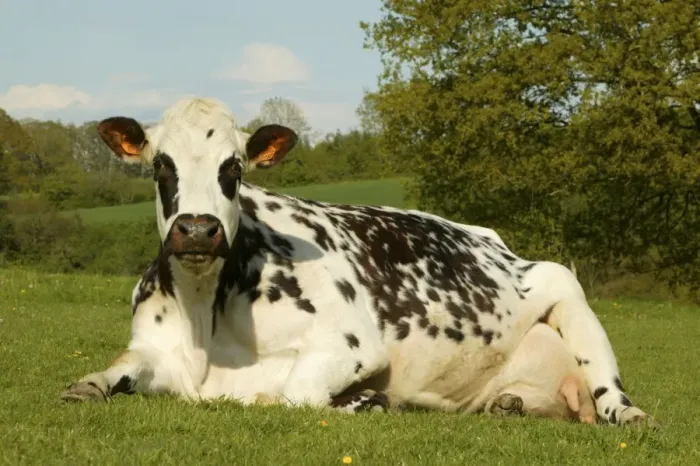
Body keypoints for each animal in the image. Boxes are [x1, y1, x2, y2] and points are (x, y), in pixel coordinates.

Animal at [60, 97, 652, 426]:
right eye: (161, 165)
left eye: (234, 167)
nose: (198, 229)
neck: (204, 313)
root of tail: (496, 240)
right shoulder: (157, 352)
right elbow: (115, 369)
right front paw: (85, 386)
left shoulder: (349, 344)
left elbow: (291, 395)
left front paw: (365, 402)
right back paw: (508, 407)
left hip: (565, 285)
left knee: (606, 385)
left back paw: (629, 414)